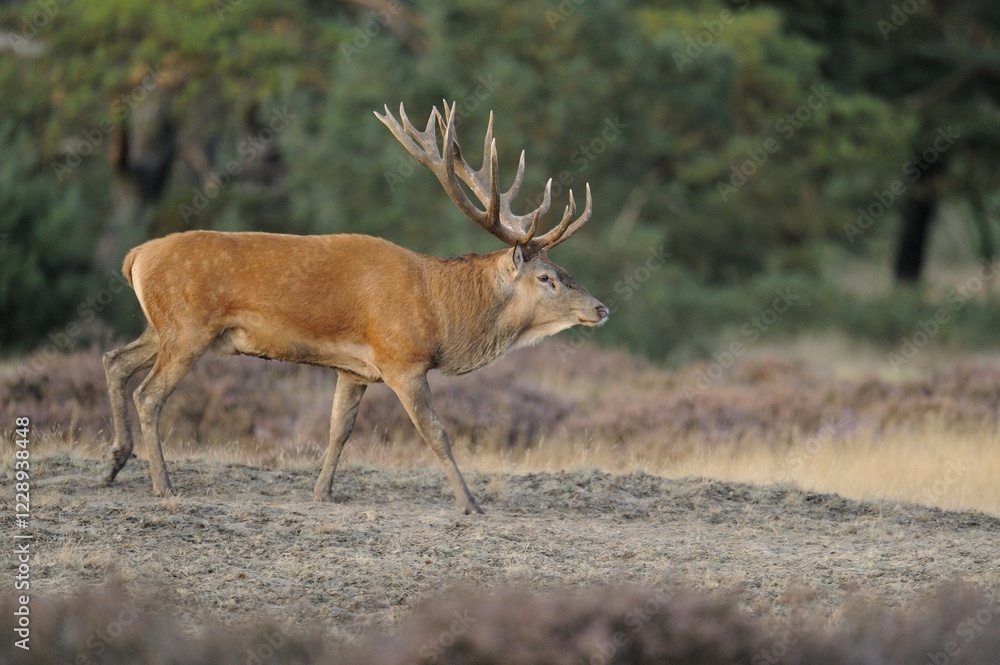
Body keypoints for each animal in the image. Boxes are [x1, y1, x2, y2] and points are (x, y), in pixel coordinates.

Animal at [102, 101, 608, 514]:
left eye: (562, 268)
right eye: (546, 278)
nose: (601, 308)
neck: (440, 311)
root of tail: (135, 257)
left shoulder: (355, 369)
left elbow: (338, 429)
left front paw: (322, 492)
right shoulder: (401, 359)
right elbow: (436, 432)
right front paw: (470, 504)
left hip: (162, 327)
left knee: (114, 360)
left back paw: (114, 463)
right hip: (187, 327)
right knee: (149, 394)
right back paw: (162, 485)